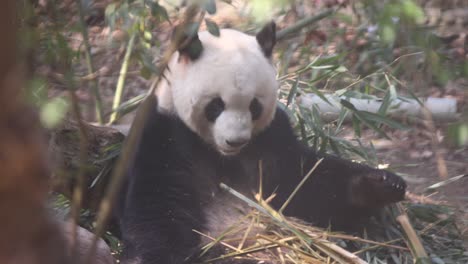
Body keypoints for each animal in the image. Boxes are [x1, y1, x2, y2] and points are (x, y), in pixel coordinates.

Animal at [115, 22, 408, 264]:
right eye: (216, 105)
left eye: (254, 106)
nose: (235, 140)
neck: (222, 156)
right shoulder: (165, 137)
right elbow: (159, 211)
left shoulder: (271, 140)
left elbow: (309, 185)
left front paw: (385, 184)